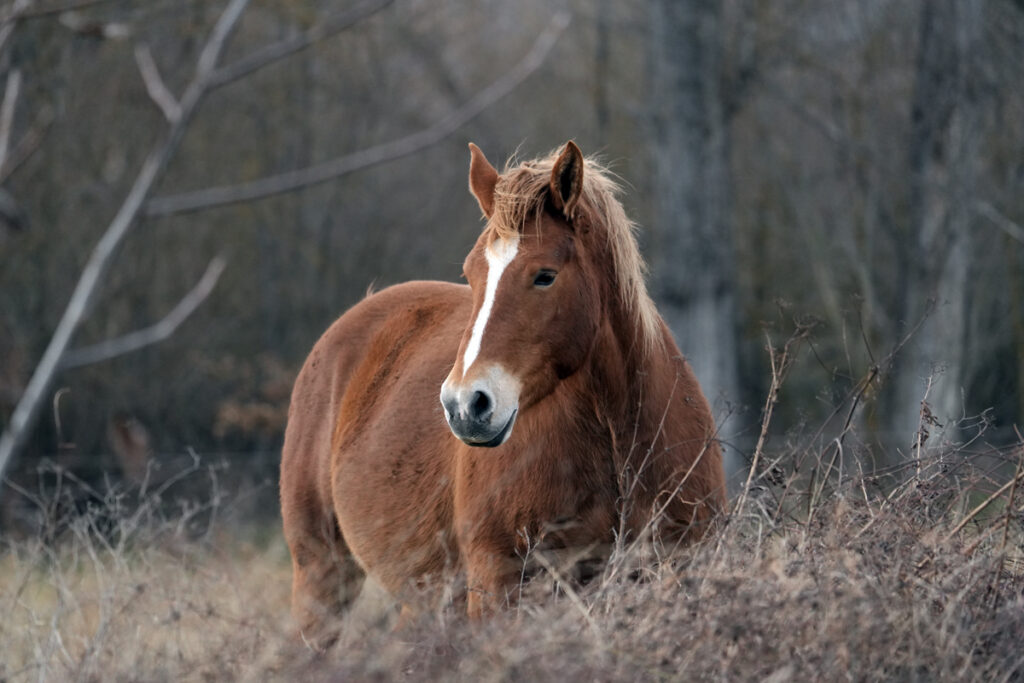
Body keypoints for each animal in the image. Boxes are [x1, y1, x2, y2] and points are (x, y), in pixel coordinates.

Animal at [278, 140, 729, 647]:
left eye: (545, 275)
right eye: (471, 274)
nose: (463, 405)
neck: (617, 440)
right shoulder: (499, 584)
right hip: (321, 572)